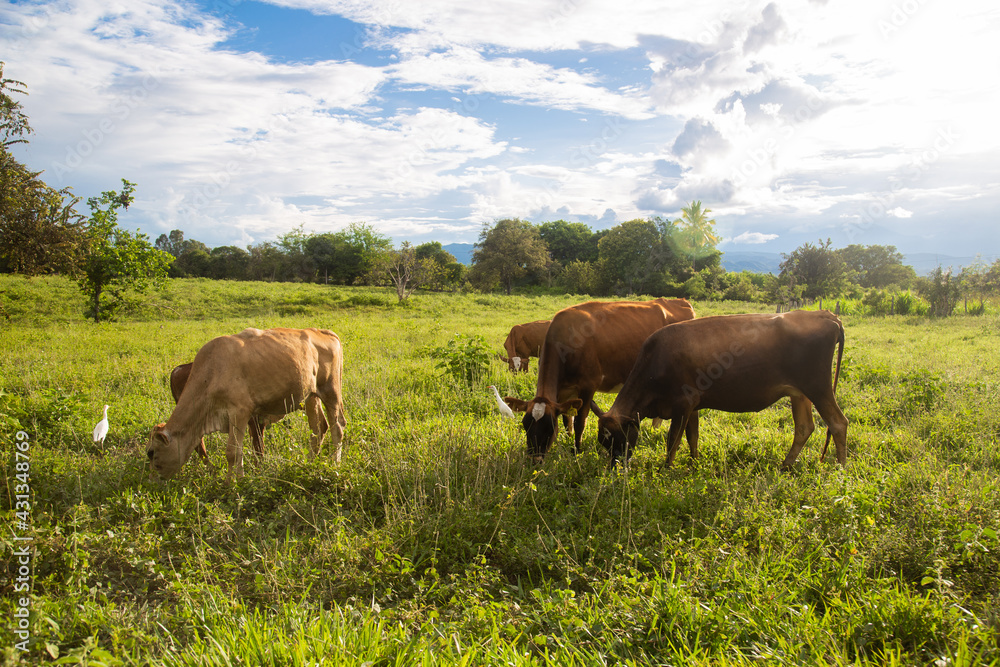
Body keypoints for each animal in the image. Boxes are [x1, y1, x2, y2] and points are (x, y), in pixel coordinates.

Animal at [147, 327, 346, 485]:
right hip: (310, 396)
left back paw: (335, 463)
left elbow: (232, 452)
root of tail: (321, 331)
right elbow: (241, 451)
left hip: (331, 391)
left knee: (337, 427)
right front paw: (240, 478)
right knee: (318, 427)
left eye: (151, 452)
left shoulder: (240, 412)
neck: (211, 373)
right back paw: (310, 462)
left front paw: (230, 483)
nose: (154, 481)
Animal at [503, 298, 696, 460]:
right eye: (525, 425)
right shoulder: (564, 390)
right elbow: (567, 419)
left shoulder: (589, 385)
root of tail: (680, 301)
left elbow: (580, 422)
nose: (535, 459)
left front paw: (577, 450)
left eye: (550, 427)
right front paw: (567, 441)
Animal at [595, 310, 848, 470]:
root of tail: (824, 314)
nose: (615, 466)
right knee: (804, 427)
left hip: (818, 388)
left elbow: (673, 441)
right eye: (603, 442)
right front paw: (694, 463)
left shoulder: (683, 405)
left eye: (617, 437)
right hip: (800, 393)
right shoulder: (693, 407)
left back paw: (840, 468)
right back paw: (785, 465)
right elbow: (692, 437)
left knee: (838, 423)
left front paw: (666, 469)